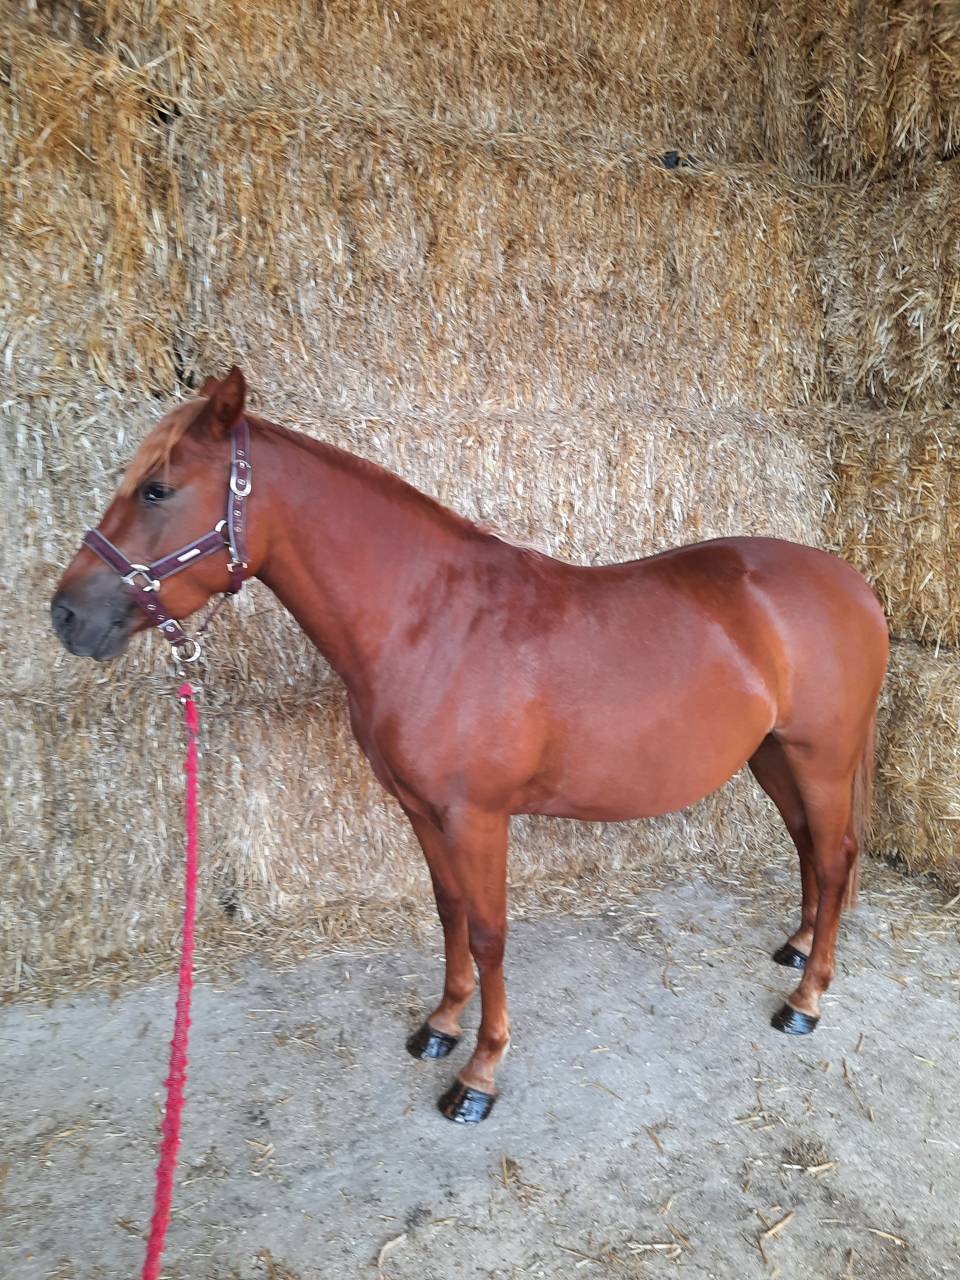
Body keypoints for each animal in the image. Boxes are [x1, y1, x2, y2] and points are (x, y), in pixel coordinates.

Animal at [51, 368, 889, 1123]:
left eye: (157, 489)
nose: (65, 615)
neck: (434, 623)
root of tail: (851, 582)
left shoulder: (477, 818)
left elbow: (489, 934)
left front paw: (480, 1074)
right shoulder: (422, 810)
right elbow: (448, 908)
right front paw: (441, 1025)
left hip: (820, 758)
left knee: (835, 856)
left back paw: (806, 998)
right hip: (772, 756)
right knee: (808, 845)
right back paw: (796, 946)